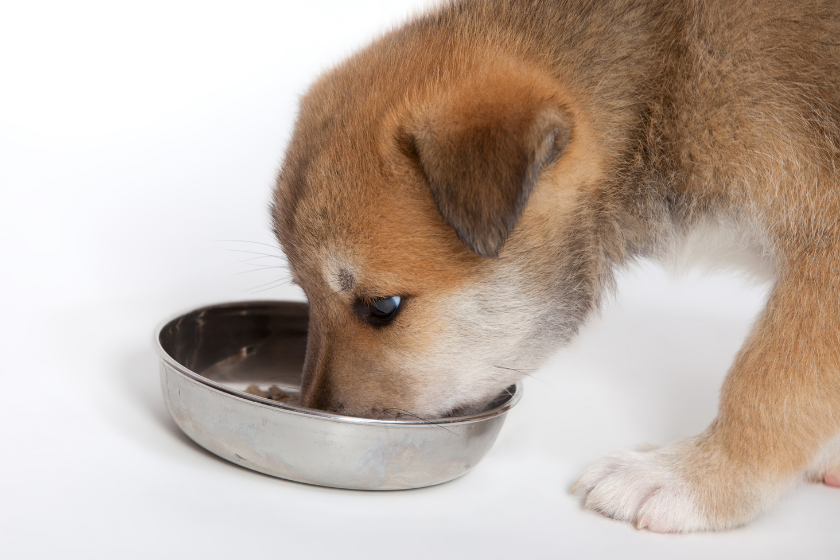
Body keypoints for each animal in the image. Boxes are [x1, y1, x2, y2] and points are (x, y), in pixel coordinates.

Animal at [270, 0, 840, 532]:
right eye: (304, 292)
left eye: (382, 306)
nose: (317, 417)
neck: (667, 82)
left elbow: (770, 384)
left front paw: (692, 479)